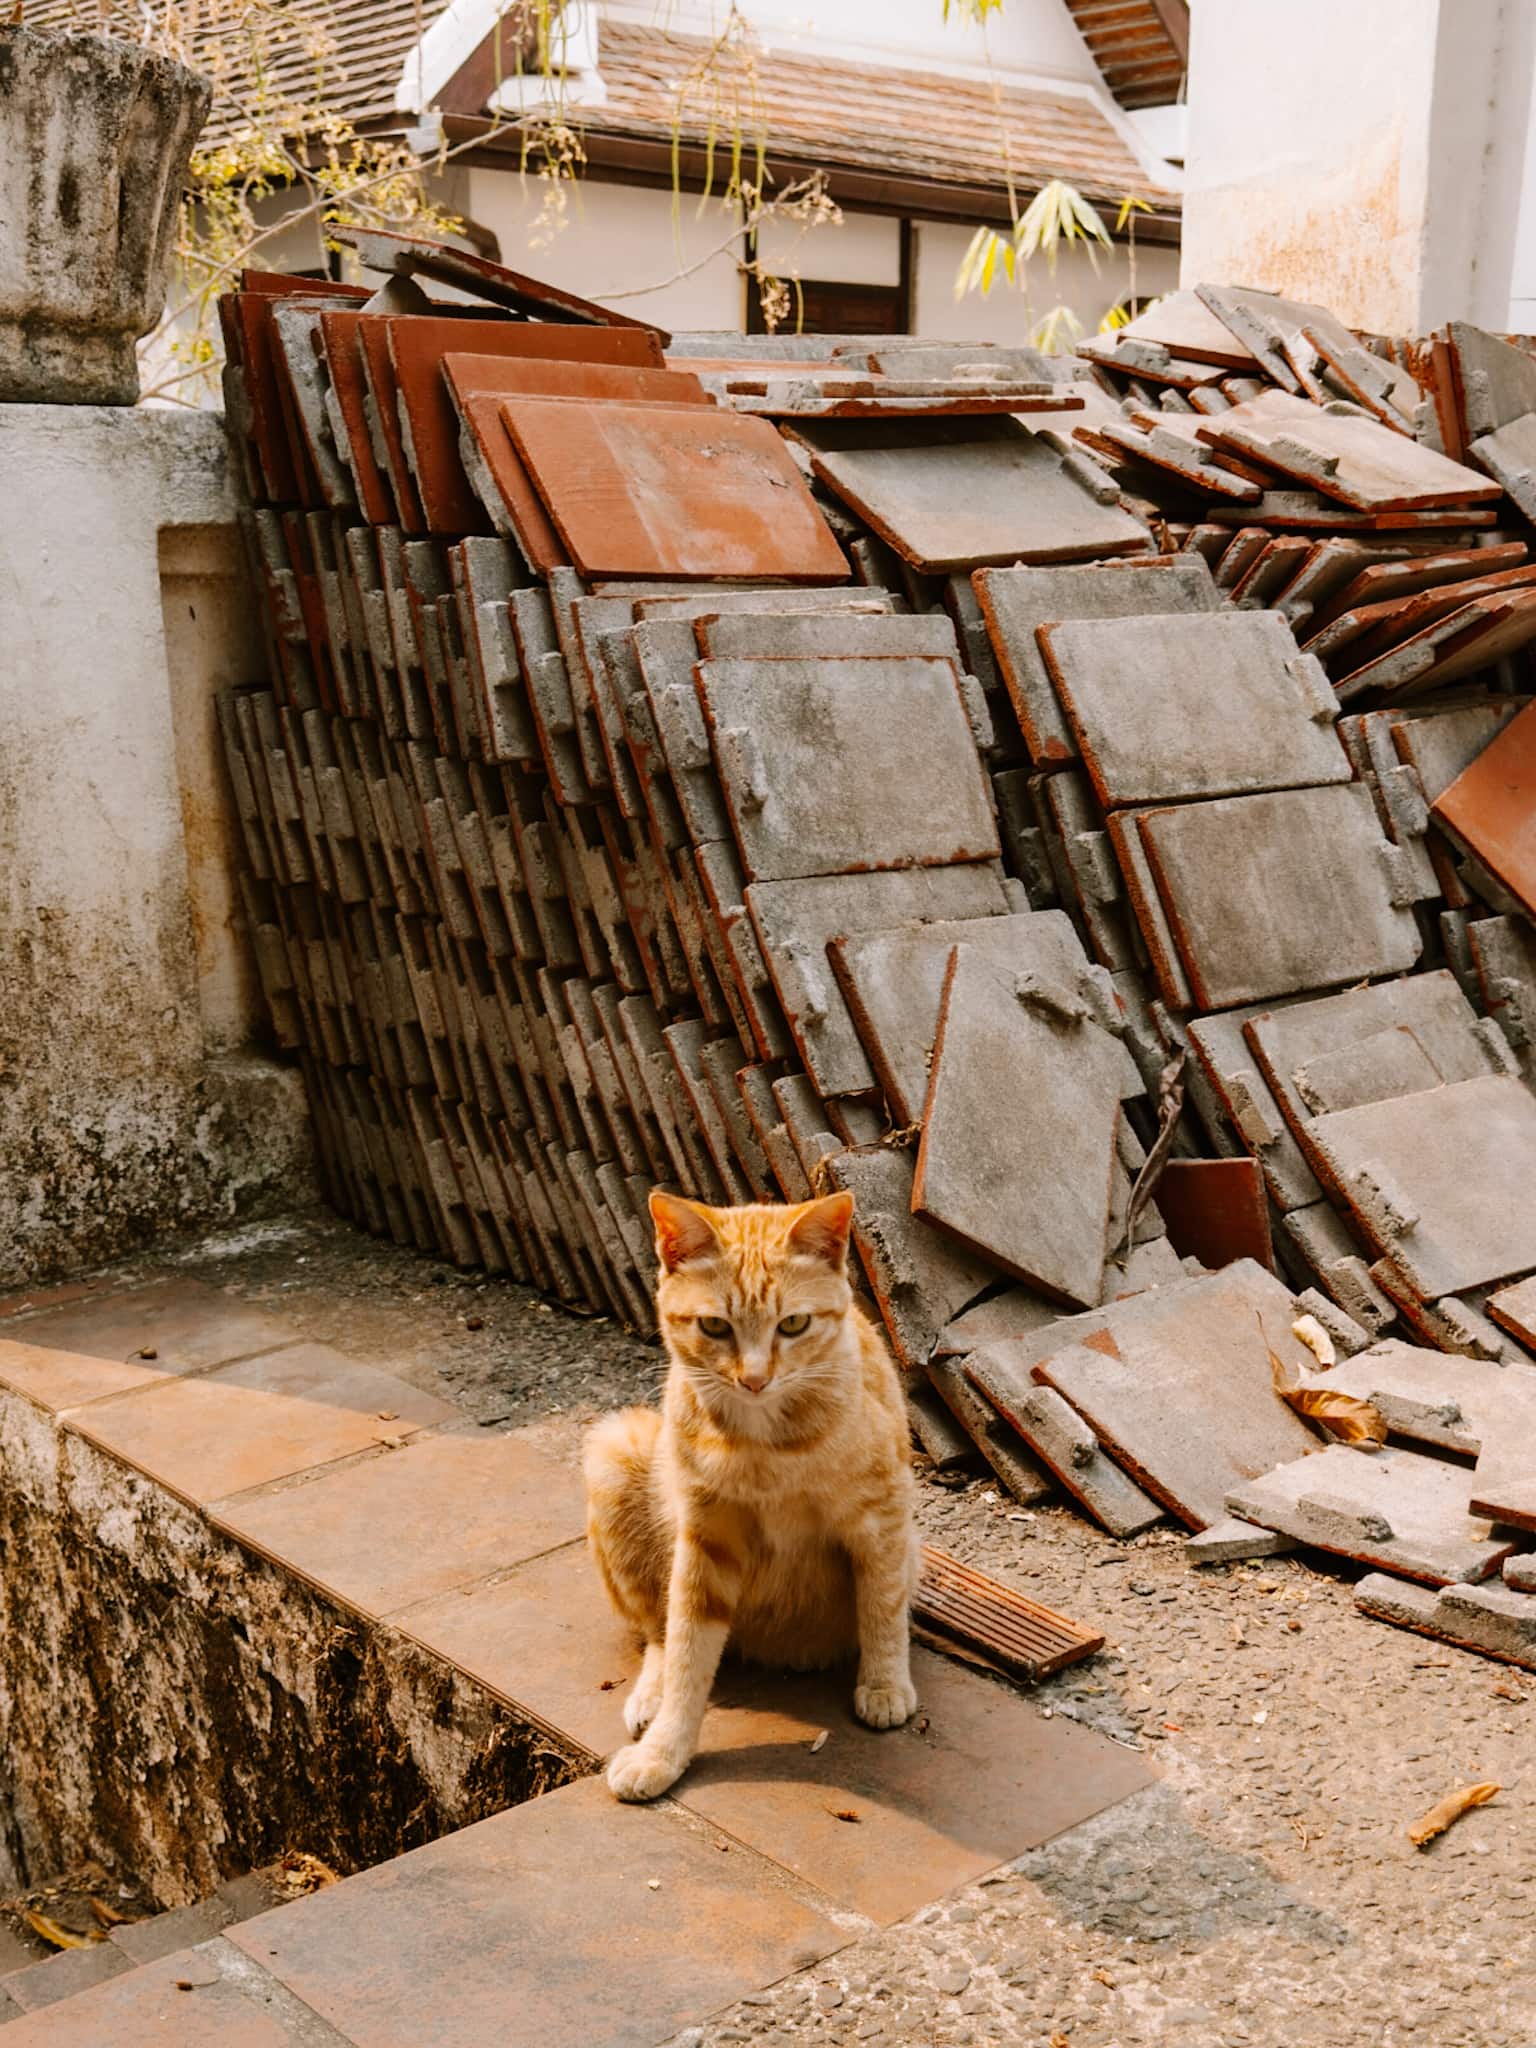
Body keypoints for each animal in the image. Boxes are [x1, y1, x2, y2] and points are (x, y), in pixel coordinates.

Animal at [585, 1196, 921, 1802]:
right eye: (715, 1326)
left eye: (794, 1323)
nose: (755, 1379)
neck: (765, 1443)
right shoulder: (705, 1541)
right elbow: (687, 1649)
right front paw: (663, 1753)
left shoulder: (882, 1516)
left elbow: (883, 1605)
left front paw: (885, 1686)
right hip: (613, 1452)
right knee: (658, 1631)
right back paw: (651, 1695)